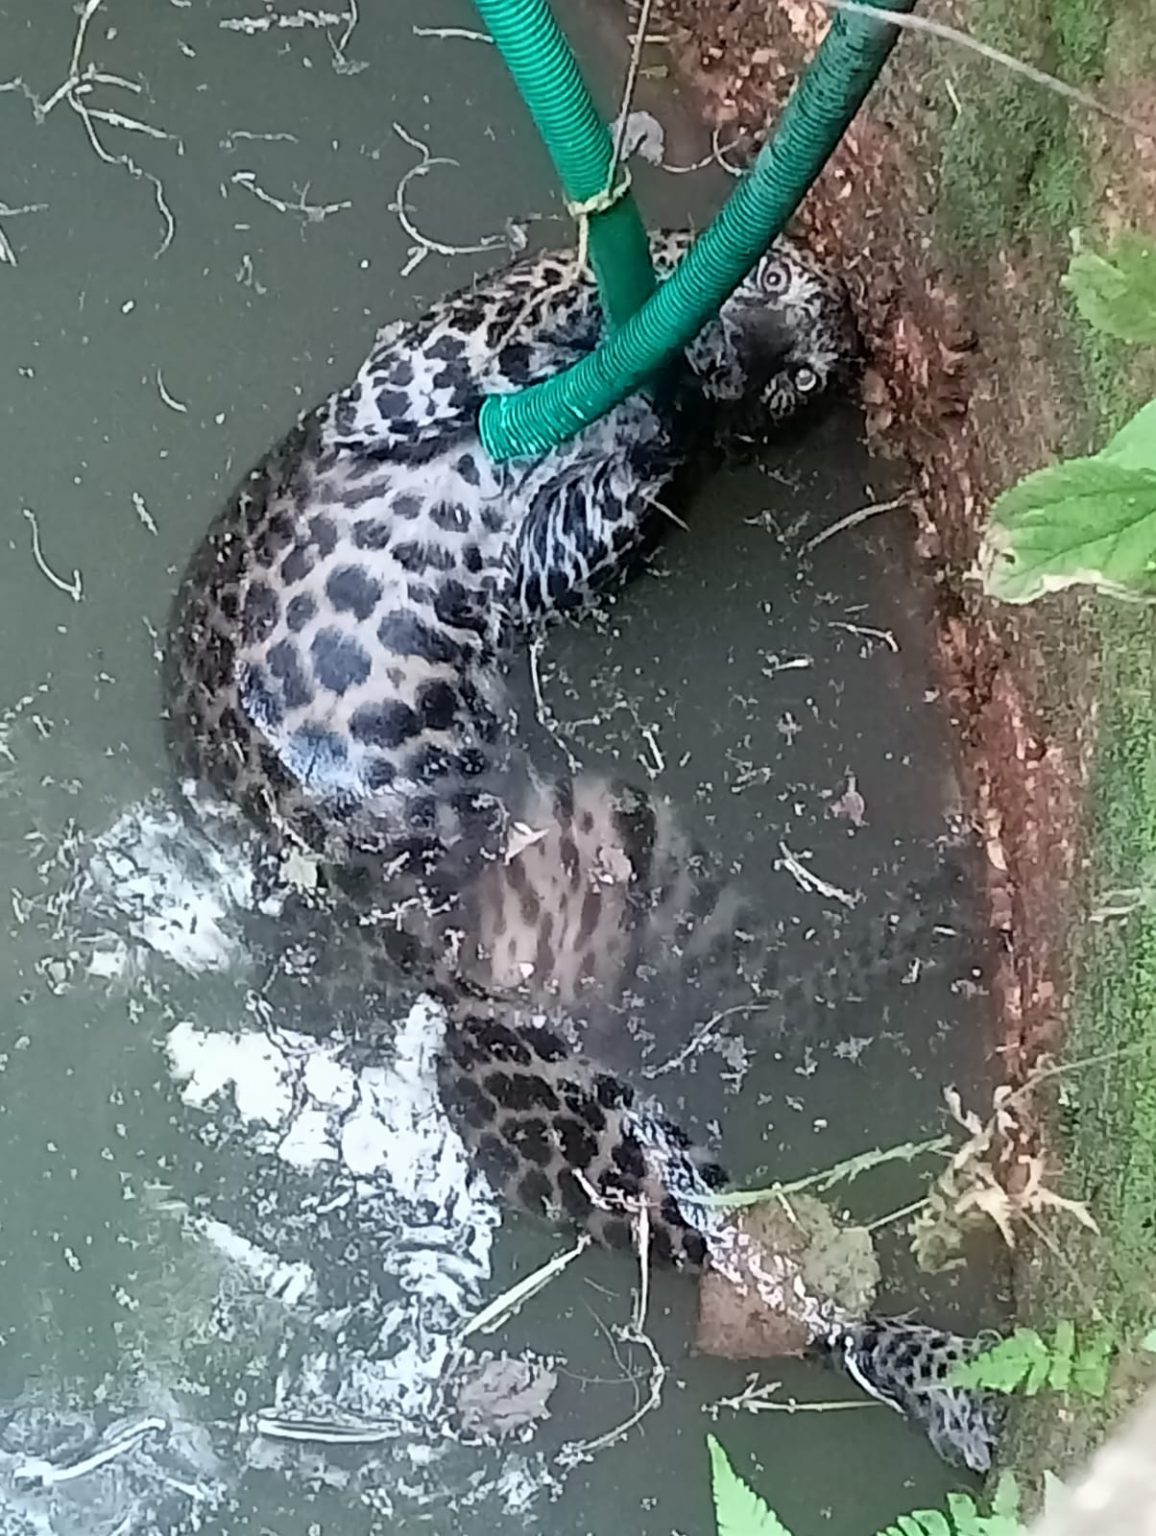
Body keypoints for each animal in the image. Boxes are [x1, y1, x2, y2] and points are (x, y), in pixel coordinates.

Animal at [164, 226, 998, 1472]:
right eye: (769, 283)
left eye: (803, 383)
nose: (758, 344)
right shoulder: (396, 386)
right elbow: (534, 303)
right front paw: (642, 308)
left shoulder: (552, 552)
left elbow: (635, 493)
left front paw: (681, 391)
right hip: (533, 1074)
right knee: (738, 1218)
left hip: (649, 899)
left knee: (757, 1171)